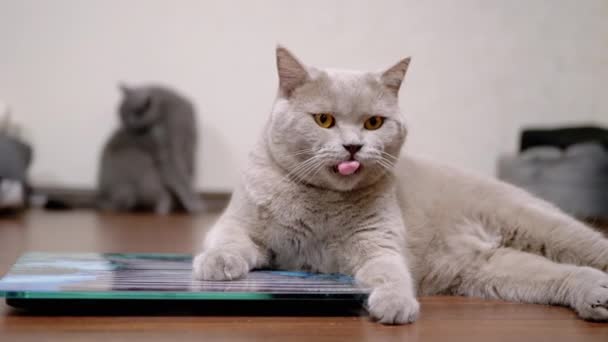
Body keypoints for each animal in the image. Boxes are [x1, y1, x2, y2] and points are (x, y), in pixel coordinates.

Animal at [97, 84, 202, 214]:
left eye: (126, 118)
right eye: (120, 117)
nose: (126, 128)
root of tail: (104, 198)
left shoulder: (189, 148)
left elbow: (185, 176)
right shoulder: (168, 156)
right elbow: (180, 178)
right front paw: (195, 204)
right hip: (143, 170)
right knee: (151, 196)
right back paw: (163, 208)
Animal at [194, 47, 608, 324]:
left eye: (374, 123)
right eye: (324, 120)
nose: (353, 146)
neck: (321, 203)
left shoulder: (379, 243)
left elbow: (390, 272)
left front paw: (395, 304)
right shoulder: (238, 223)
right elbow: (229, 240)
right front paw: (215, 263)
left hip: (546, 227)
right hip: (488, 270)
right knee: (558, 274)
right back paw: (595, 294)